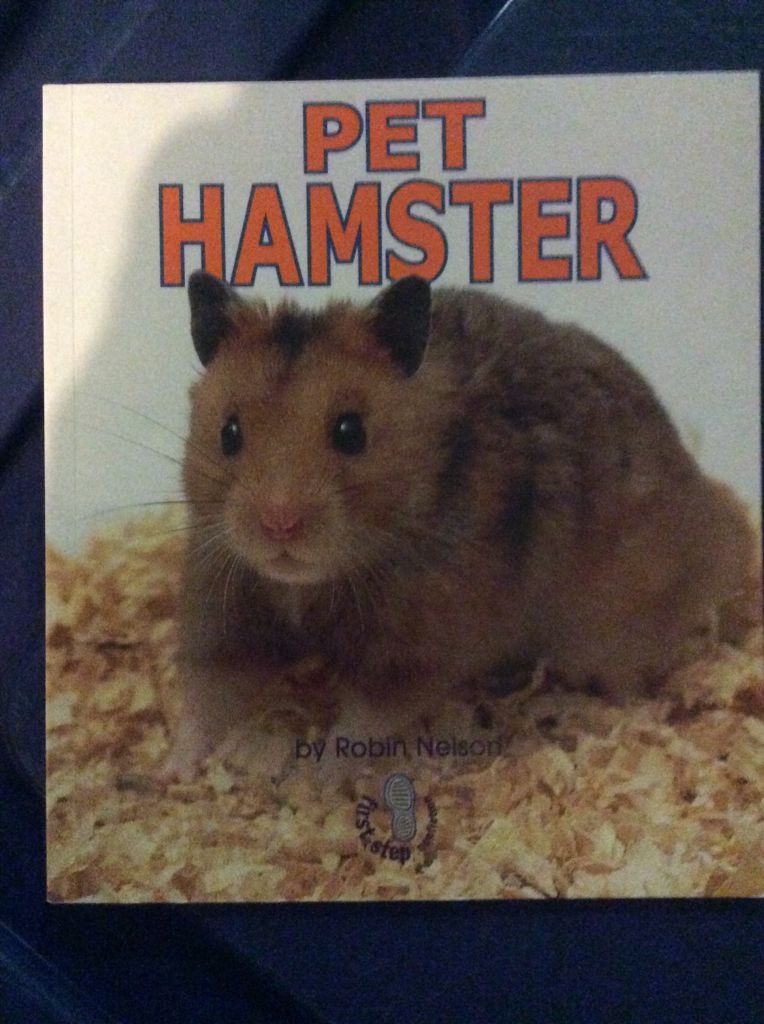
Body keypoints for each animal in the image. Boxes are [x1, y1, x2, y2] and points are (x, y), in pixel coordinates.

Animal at [161, 270, 758, 781]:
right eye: (229, 432)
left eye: (351, 432)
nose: (279, 525)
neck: (307, 586)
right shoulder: (223, 606)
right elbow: (208, 699)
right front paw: (170, 771)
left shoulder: (418, 649)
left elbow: (361, 722)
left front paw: (311, 778)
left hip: (614, 631)